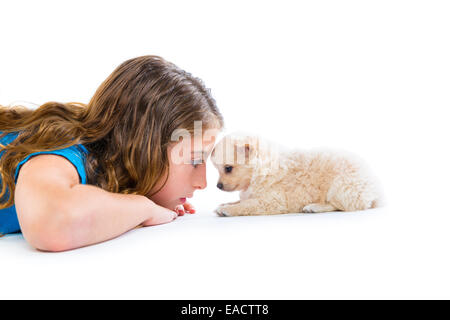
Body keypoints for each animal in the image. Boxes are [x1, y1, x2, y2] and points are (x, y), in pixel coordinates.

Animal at [211, 131, 384, 216]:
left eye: (228, 168)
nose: (218, 186)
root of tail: (375, 192)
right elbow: (241, 200)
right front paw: (227, 204)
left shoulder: (272, 201)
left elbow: (247, 204)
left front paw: (228, 210)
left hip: (342, 186)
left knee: (341, 206)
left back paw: (314, 207)